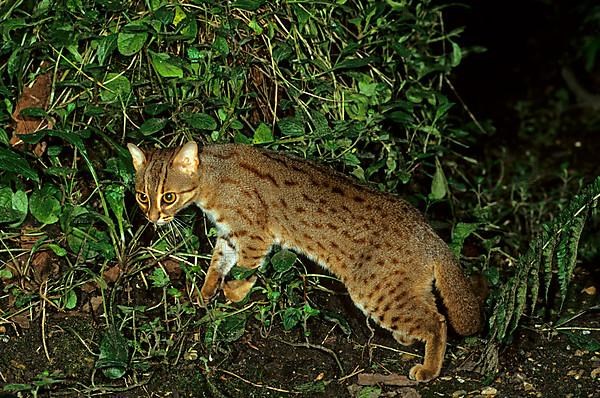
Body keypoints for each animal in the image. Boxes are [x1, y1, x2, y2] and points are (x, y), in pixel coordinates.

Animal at [127, 141, 482, 380]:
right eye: (142, 196)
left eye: (168, 197)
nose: (152, 218)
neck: (212, 178)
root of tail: (432, 237)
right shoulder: (228, 236)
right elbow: (217, 265)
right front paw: (204, 294)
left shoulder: (254, 237)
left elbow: (243, 272)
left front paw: (232, 295)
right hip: (401, 288)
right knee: (431, 311)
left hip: (374, 292)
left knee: (438, 321)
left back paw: (429, 369)